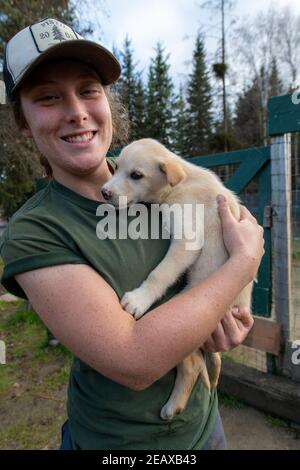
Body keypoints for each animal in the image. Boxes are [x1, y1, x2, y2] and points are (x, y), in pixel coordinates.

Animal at [101, 138, 253, 420]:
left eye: (136, 175)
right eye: (116, 169)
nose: (104, 192)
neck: (181, 183)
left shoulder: (187, 240)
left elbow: (159, 273)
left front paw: (139, 299)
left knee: (192, 365)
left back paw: (173, 406)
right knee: (211, 360)